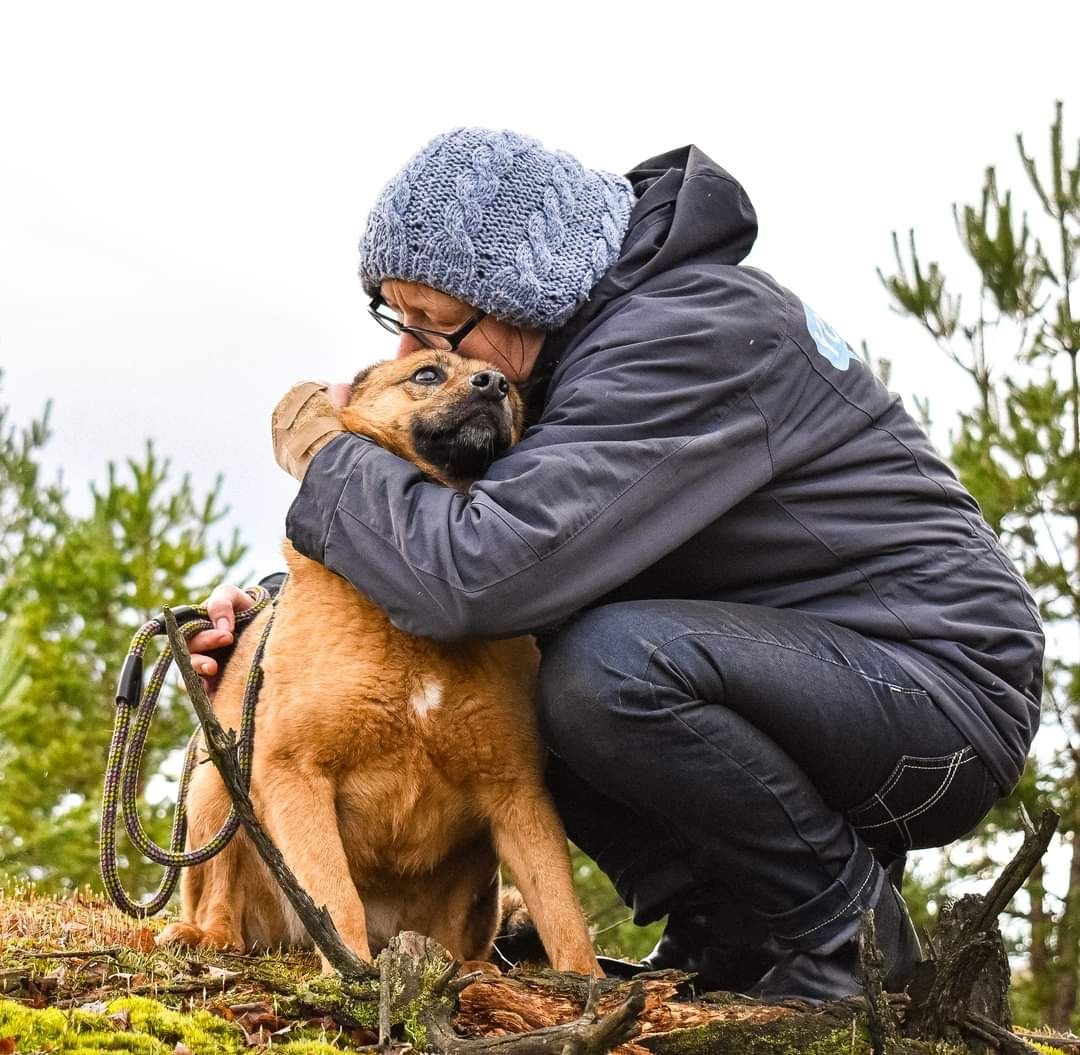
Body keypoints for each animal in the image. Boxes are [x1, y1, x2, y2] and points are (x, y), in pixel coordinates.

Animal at [157, 349, 604, 976]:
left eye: (513, 394)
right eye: (427, 374)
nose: (493, 384)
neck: (413, 629)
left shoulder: (519, 793)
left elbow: (562, 911)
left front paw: (585, 985)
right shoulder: (295, 772)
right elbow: (335, 892)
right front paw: (351, 978)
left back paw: (473, 969)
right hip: (214, 791)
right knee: (220, 900)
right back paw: (207, 937)